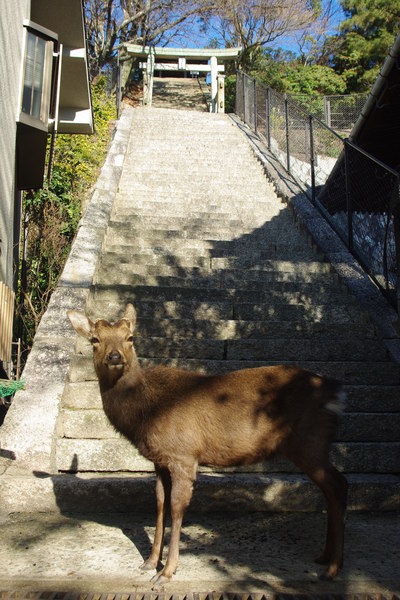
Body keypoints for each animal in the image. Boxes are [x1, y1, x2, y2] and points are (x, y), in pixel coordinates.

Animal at [68, 304, 346, 584]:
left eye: (130, 338)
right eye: (95, 339)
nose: (115, 357)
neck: (146, 414)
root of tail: (335, 393)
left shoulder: (183, 454)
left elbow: (177, 507)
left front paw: (167, 572)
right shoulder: (160, 460)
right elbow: (159, 504)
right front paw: (149, 563)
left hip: (310, 442)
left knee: (338, 484)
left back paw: (333, 567)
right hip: (310, 445)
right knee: (333, 488)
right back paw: (325, 557)